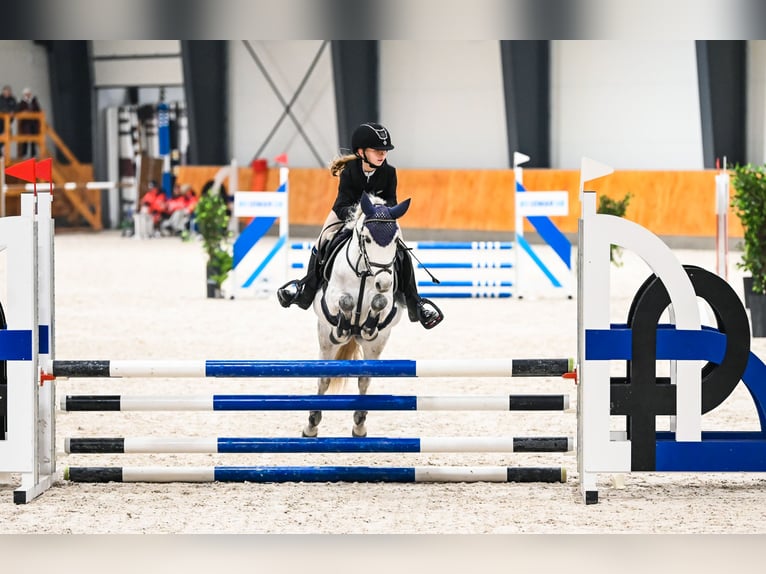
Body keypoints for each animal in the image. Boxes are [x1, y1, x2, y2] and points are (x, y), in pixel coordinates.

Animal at [303, 192, 411, 438]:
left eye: (395, 241)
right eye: (367, 239)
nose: (384, 282)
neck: (364, 272)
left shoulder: (388, 305)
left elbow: (380, 302)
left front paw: (369, 323)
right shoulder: (331, 297)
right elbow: (346, 300)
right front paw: (345, 323)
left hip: (376, 345)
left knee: (364, 379)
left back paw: (359, 425)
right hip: (325, 339)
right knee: (324, 378)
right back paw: (311, 424)